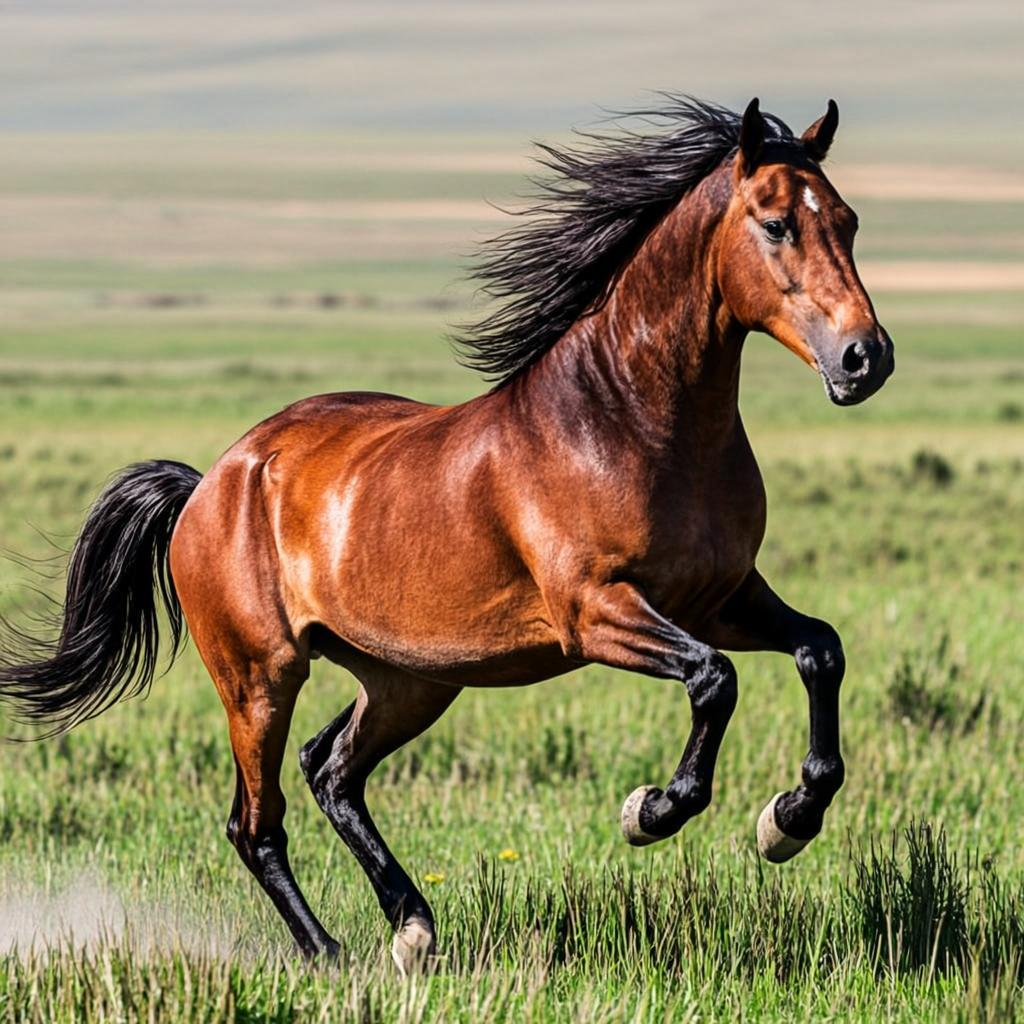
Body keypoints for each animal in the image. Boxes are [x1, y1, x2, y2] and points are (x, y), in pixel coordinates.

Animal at [0, 97, 893, 972]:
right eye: (776, 223)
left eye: (848, 221)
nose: (865, 359)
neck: (627, 420)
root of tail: (208, 485)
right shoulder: (596, 614)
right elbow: (714, 680)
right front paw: (654, 809)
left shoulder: (721, 598)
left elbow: (820, 650)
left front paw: (790, 817)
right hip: (260, 677)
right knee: (256, 823)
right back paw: (330, 953)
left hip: (408, 680)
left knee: (331, 770)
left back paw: (412, 926)